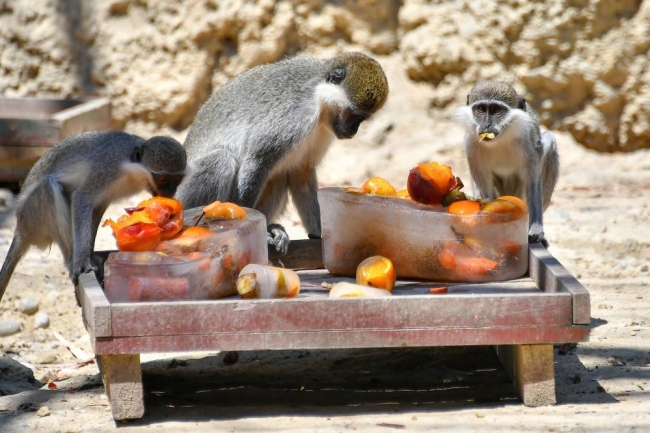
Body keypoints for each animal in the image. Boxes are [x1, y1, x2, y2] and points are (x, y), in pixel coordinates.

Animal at [0, 130, 187, 302]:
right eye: (162, 178)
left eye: (177, 178)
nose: (169, 192)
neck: (131, 168)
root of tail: (19, 230)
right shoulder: (108, 170)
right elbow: (82, 198)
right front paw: (82, 262)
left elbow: (97, 207)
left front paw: (90, 256)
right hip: (31, 218)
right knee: (48, 186)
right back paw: (71, 260)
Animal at [175, 51, 388, 253]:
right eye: (356, 116)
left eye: (362, 119)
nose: (353, 131)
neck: (319, 101)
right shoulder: (294, 115)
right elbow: (258, 159)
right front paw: (252, 227)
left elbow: (301, 174)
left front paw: (318, 234)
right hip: (184, 198)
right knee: (221, 160)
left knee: (278, 176)